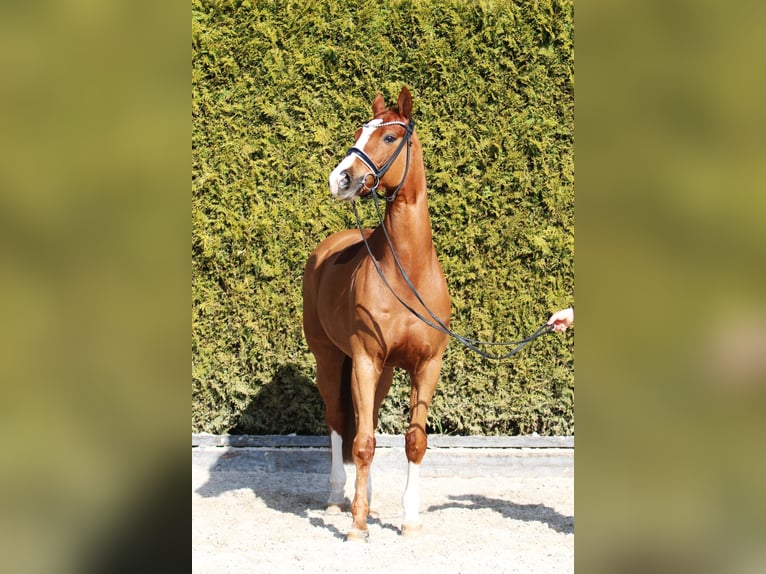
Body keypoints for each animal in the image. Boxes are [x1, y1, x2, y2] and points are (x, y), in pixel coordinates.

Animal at [304, 85, 452, 540]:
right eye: (358, 132)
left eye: (389, 137)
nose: (341, 179)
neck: (407, 272)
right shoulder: (365, 360)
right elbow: (362, 442)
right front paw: (357, 524)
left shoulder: (426, 366)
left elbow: (413, 442)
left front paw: (409, 519)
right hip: (331, 359)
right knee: (339, 422)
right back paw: (339, 496)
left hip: (381, 372)